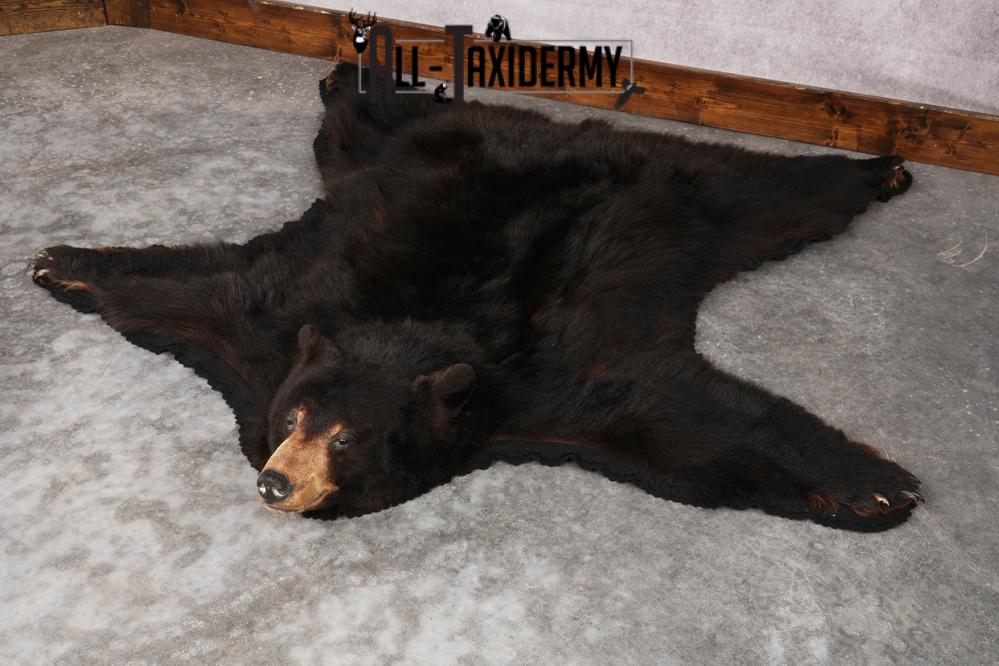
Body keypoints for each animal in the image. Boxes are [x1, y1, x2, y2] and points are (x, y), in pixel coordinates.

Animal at [32, 63, 920, 530]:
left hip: (668, 194)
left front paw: (876, 483)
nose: (275, 482)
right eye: (291, 421)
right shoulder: (270, 326)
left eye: (346, 439)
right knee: (357, 127)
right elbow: (197, 286)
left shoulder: (551, 380)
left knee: (756, 191)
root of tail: (545, 126)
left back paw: (877, 168)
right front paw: (63, 260)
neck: (410, 334)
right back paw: (347, 71)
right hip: (388, 159)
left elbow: (686, 426)